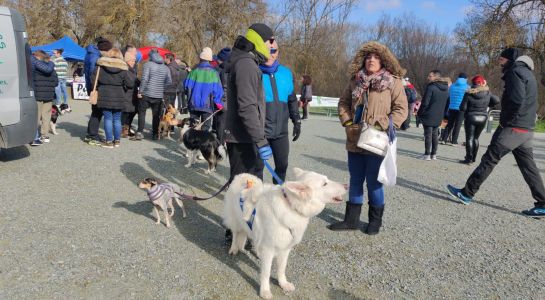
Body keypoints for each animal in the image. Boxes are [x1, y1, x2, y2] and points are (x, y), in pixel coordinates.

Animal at [223, 168, 346, 298]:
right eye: (324, 184)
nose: (346, 185)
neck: (291, 206)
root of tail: (240, 175)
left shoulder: (285, 248)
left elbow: (281, 269)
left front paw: (283, 284)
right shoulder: (269, 249)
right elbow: (266, 273)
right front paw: (265, 291)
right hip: (235, 221)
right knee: (235, 234)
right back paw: (233, 248)